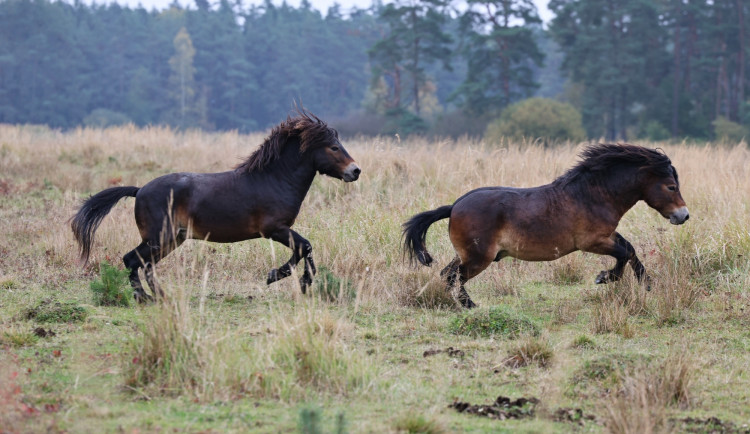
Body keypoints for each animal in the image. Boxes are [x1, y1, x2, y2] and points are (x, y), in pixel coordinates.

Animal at [71, 110, 362, 300]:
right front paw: (282, 277)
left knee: (145, 265)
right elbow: (305, 246)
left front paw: (298, 280)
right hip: (158, 237)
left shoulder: (279, 231)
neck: (275, 179)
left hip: (171, 240)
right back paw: (146, 298)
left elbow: (305, 248)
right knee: (132, 260)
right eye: (334, 147)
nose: (356, 171)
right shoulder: (274, 229)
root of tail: (140, 190)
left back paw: (160, 296)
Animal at [402, 144, 692, 306]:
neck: (592, 194)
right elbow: (622, 255)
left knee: (447, 274)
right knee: (454, 276)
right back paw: (468, 304)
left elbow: (630, 250)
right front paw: (604, 277)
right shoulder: (592, 242)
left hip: (468, 255)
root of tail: (454, 206)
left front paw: (646, 283)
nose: (683, 215)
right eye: (671, 186)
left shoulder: (608, 235)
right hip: (478, 258)